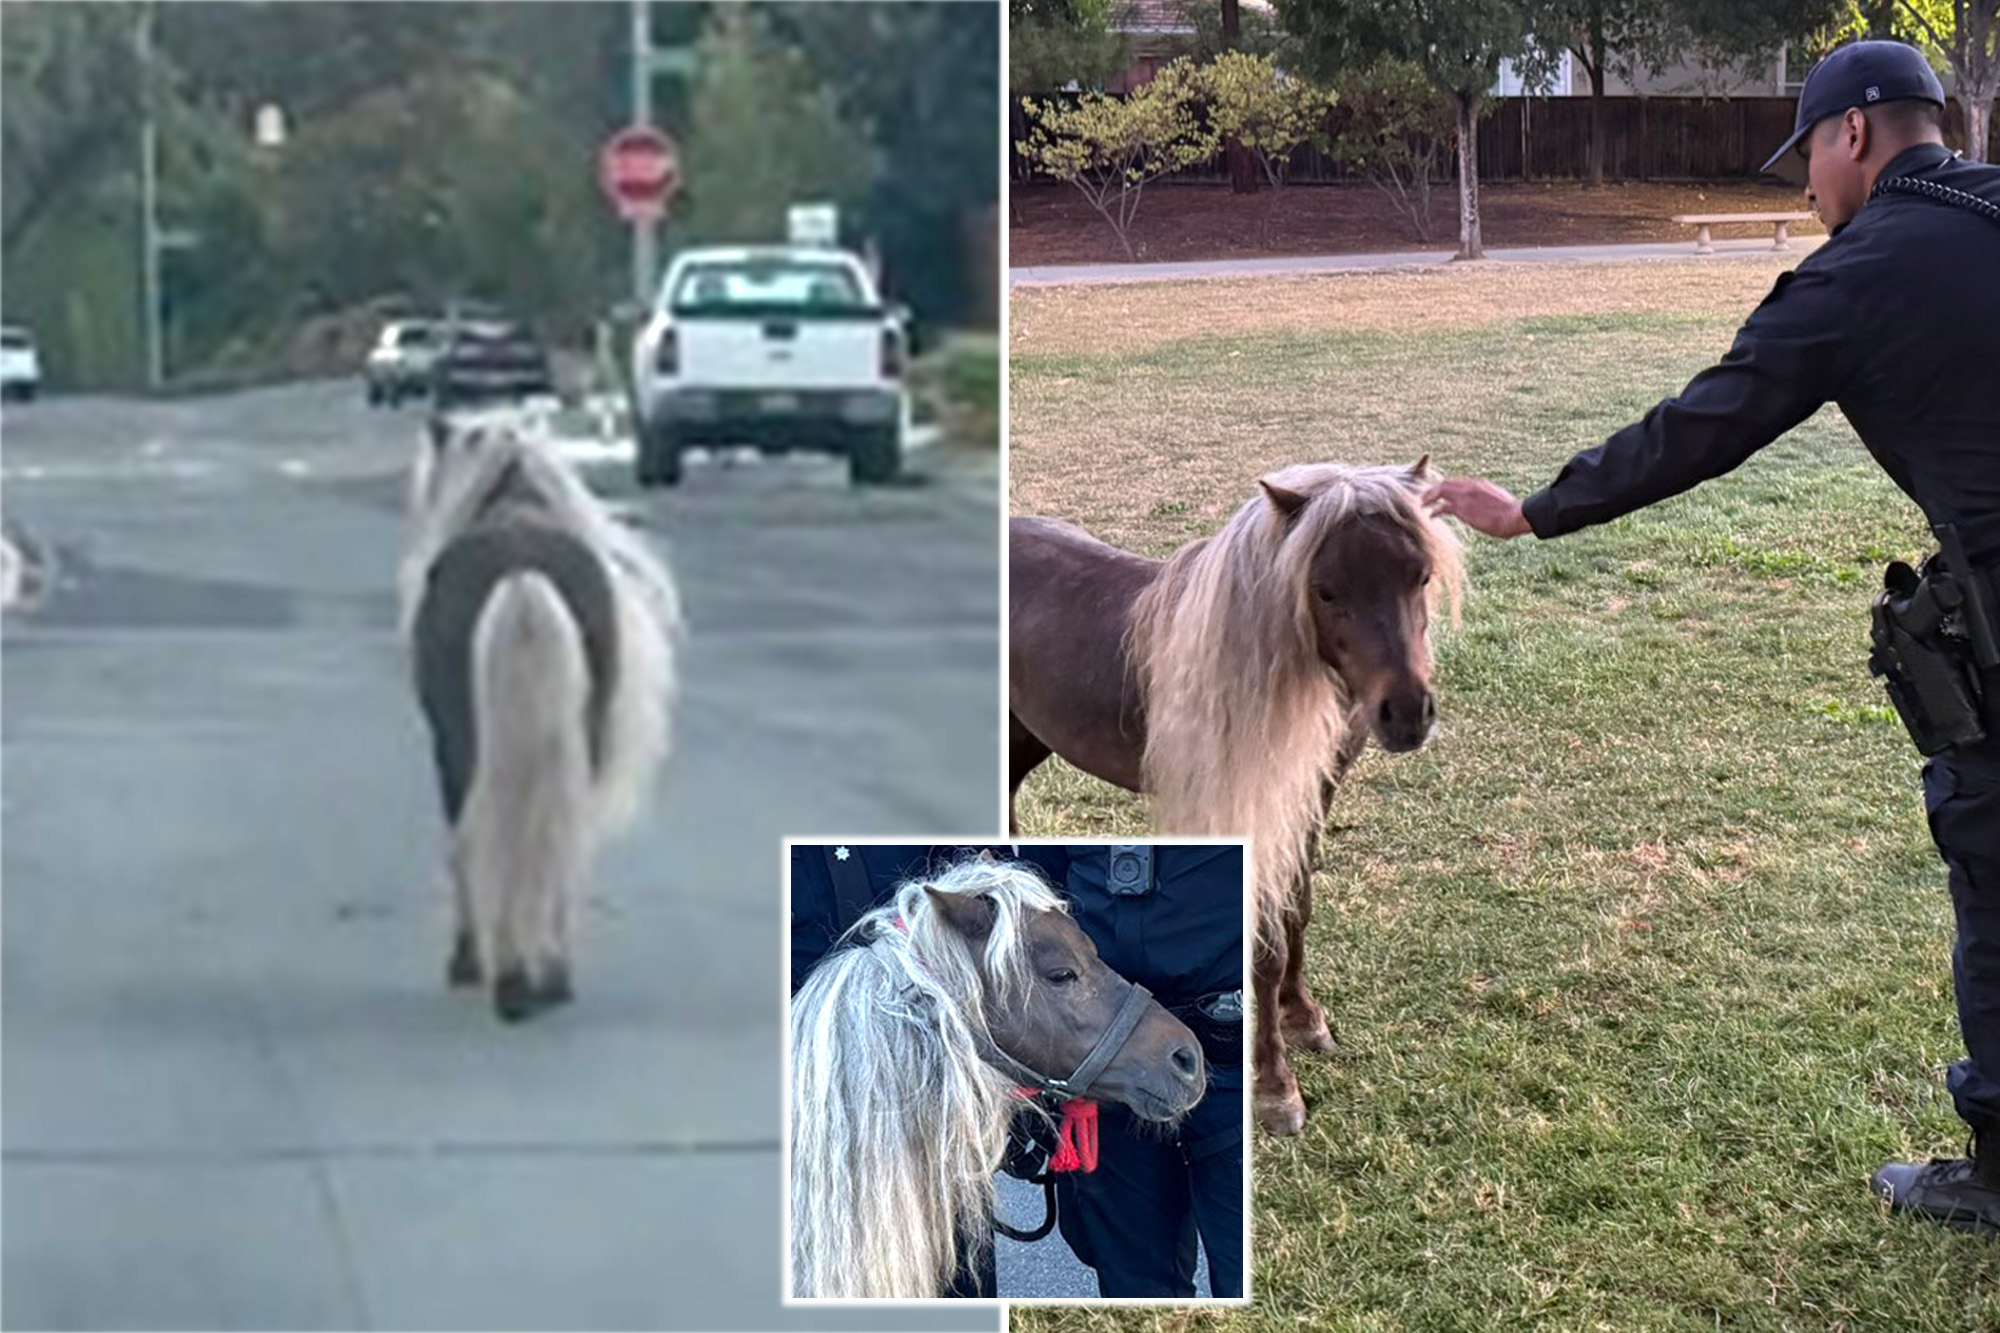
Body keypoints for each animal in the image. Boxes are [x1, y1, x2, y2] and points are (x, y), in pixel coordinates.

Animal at [398, 414, 681, 1022]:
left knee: (484, 834)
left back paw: (506, 973)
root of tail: (522, 575)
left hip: (465, 747)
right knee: (558, 839)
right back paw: (550, 974)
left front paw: (465, 961)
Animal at [1009, 458, 1463, 1135]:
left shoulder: (1311, 796)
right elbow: (1264, 945)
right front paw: (1277, 1090)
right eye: (1325, 590)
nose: (1408, 714)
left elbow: (1295, 909)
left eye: (1421, 575)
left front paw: (1303, 1017)